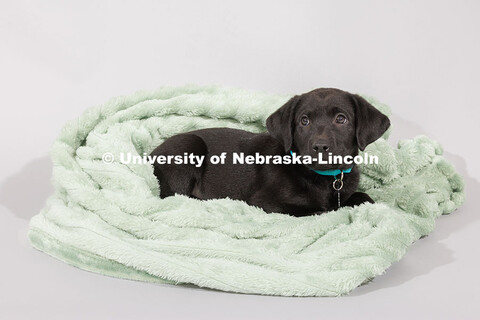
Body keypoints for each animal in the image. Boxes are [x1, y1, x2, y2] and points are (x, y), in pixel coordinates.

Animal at [150, 89, 390, 216]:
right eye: (304, 121)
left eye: (341, 119)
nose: (320, 146)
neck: (324, 179)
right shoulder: (266, 202)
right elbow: (320, 210)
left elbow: (362, 197)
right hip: (188, 145)